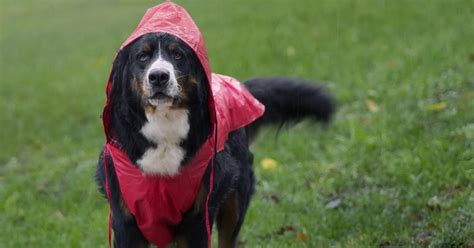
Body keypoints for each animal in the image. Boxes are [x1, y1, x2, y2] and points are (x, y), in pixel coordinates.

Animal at [95, 32, 334, 247]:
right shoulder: (125, 221)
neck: (164, 125)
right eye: (142, 56)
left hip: (235, 201)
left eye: (178, 55)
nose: (159, 76)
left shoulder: (197, 218)